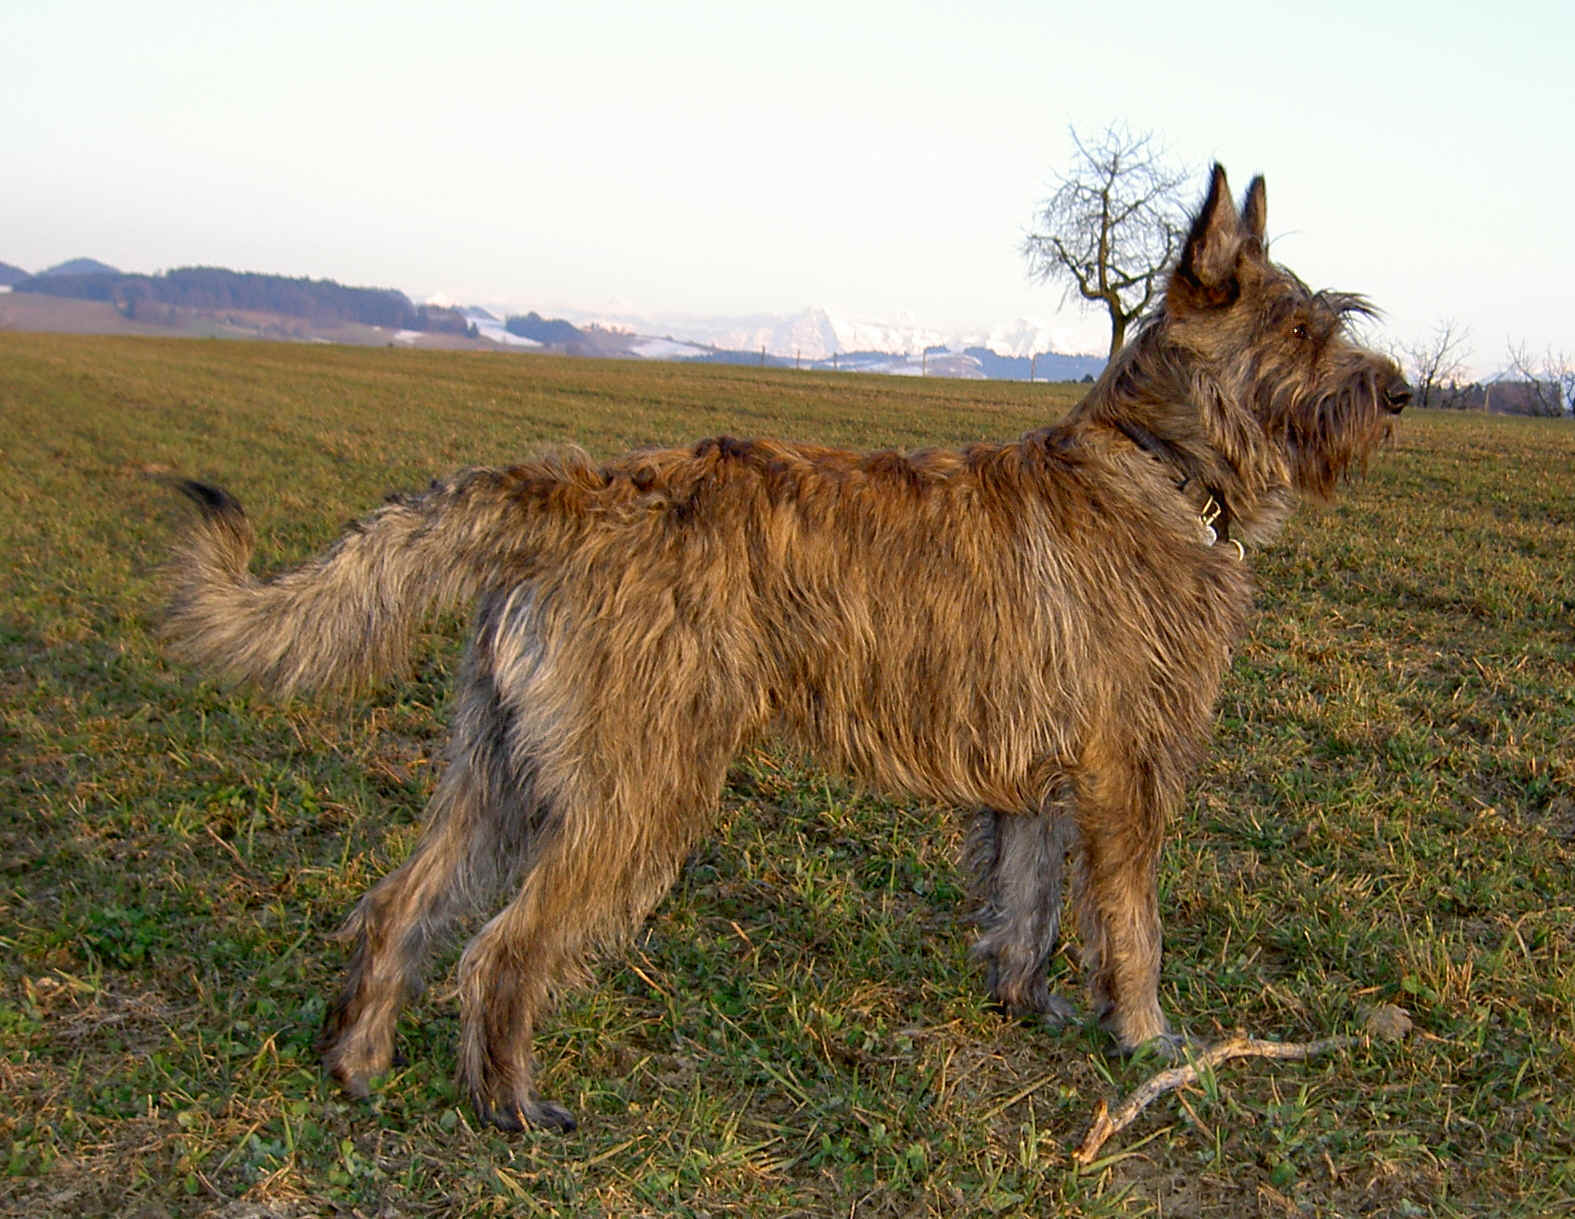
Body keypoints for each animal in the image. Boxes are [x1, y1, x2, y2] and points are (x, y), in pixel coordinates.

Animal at [166, 166, 1411, 1133]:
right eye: (1302, 331)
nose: (1400, 392)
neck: (1161, 466)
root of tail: (580, 492)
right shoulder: (1126, 773)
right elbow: (1132, 927)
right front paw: (1148, 1043)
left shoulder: (1033, 787)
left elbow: (1030, 906)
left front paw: (1028, 1007)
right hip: (639, 790)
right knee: (501, 950)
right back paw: (511, 1105)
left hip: (504, 773)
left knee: (401, 907)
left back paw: (357, 1062)